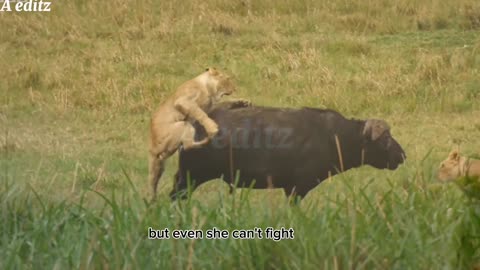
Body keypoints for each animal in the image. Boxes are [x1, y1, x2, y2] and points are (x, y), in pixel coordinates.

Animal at [148, 68, 249, 199]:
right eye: (227, 78)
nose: (235, 88)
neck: (208, 88)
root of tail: (153, 148)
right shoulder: (184, 101)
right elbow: (200, 114)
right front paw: (212, 128)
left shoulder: (210, 106)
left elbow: (223, 103)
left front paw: (242, 101)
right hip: (184, 124)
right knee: (188, 145)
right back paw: (206, 140)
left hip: (158, 166)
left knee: (153, 182)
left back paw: (152, 200)